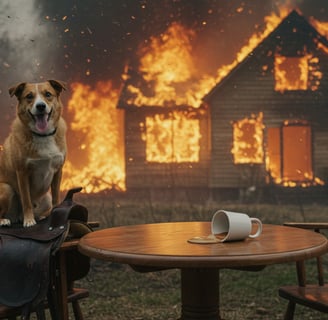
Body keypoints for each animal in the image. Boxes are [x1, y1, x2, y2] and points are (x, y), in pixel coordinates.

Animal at [0, 80, 67, 226]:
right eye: (29, 96)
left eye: (48, 94)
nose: (41, 106)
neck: (42, 135)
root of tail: (15, 217)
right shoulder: (22, 173)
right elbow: (26, 200)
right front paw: (29, 220)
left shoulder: (58, 170)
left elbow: (56, 197)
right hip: (7, 189)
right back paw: (5, 220)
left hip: (46, 198)